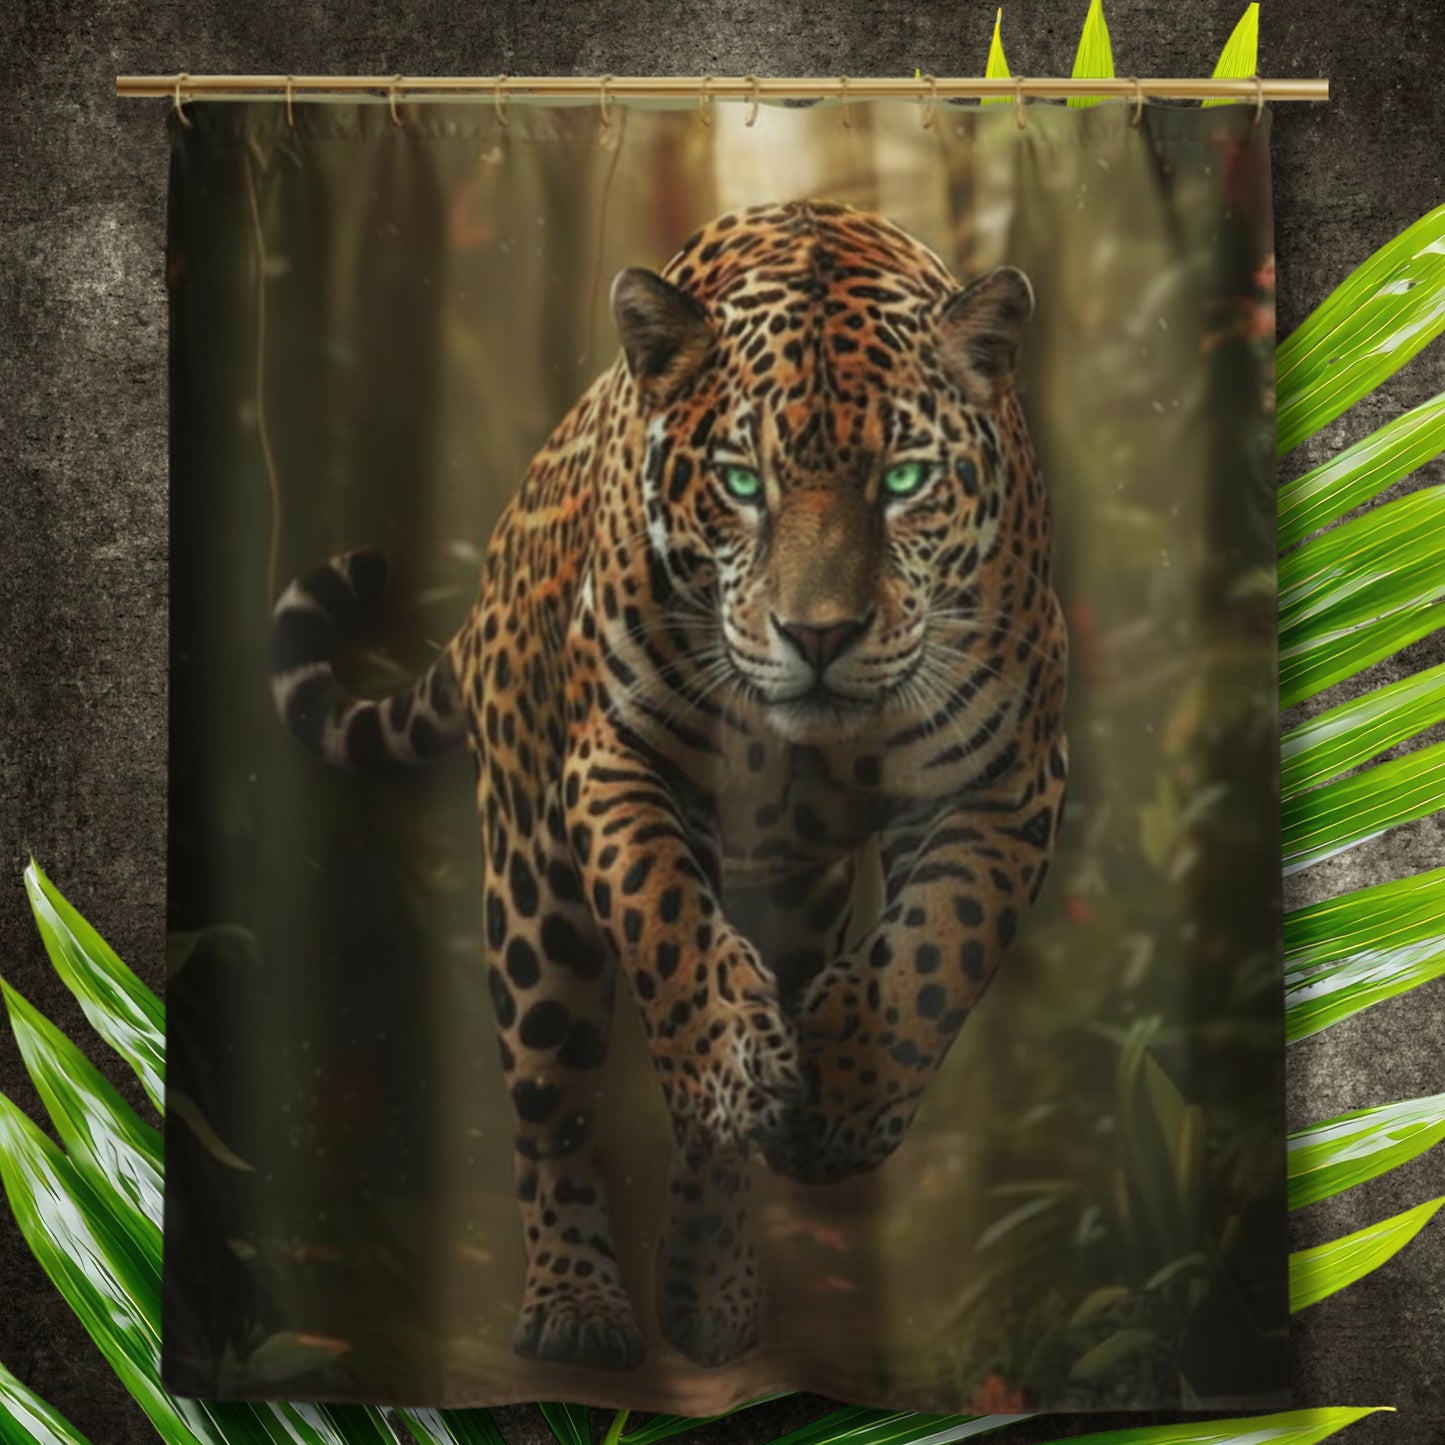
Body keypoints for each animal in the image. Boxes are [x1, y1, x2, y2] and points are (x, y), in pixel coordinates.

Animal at [270, 199, 1068, 1375]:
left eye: (903, 482)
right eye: (741, 483)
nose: (818, 636)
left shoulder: (1005, 777)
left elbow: (934, 952)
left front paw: (843, 1102)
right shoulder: (616, 758)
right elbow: (662, 915)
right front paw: (738, 1062)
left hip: (796, 901)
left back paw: (710, 1284)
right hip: (532, 888)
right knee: (550, 1104)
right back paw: (580, 1302)